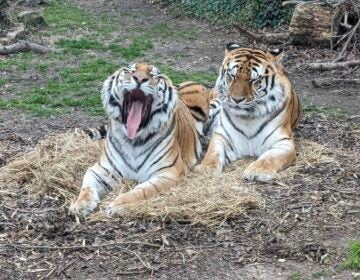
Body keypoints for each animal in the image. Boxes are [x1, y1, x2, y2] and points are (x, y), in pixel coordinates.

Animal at [69, 63, 218, 217]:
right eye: (131, 70)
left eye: (153, 75)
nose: (140, 79)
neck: (132, 140)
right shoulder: (101, 169)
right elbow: (87, 185)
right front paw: (80, 205)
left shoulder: (168, 173)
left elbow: (141, 191)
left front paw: (118, 204)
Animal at [195, 43, 302, 182]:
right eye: (232, 76)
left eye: (254, 80)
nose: (236, 99)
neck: (248, 118)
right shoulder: (222, 136)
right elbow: (212, 154)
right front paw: (205, 168)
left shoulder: (284, 142)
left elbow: (270, 157)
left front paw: (258, 171)